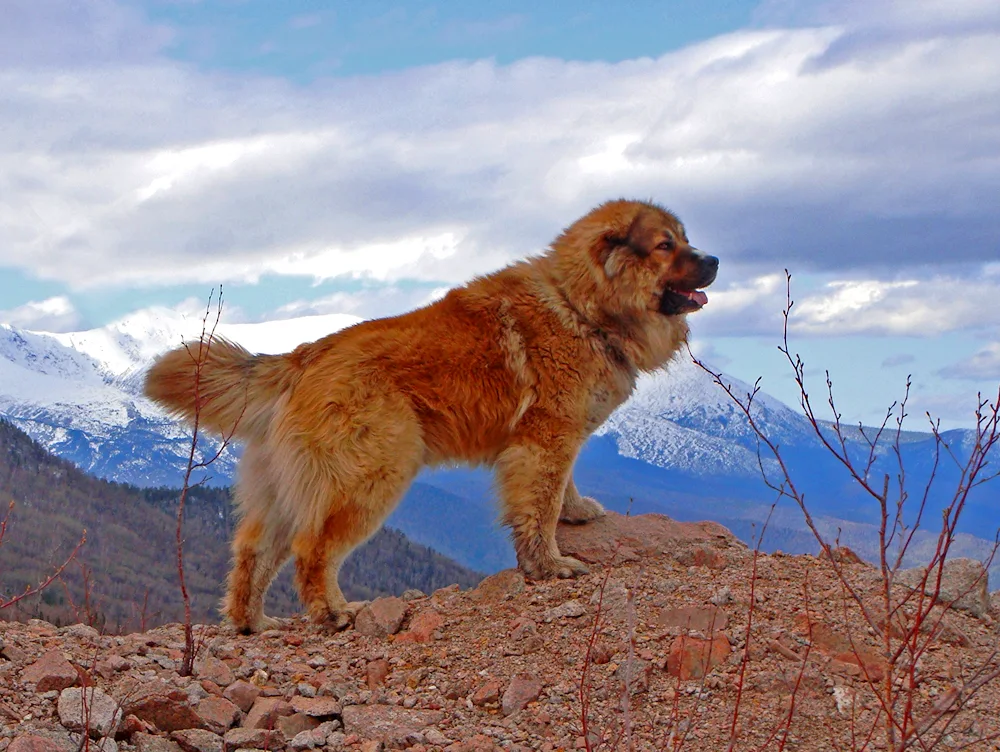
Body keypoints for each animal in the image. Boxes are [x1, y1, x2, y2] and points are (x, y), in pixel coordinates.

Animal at [143, 200, 720, 636]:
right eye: (666, 245)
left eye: (686, 240)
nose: (714, 259)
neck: (580, 305)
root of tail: (304, 355)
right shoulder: (546, 436)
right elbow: (539, 507)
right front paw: (550, 565)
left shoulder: (557, 435)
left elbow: (562, 488)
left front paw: (576, 512)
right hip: (371, 475)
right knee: (313, 550)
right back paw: (333, 613)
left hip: (285, 486)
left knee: (252, 553)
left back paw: (252, 622)